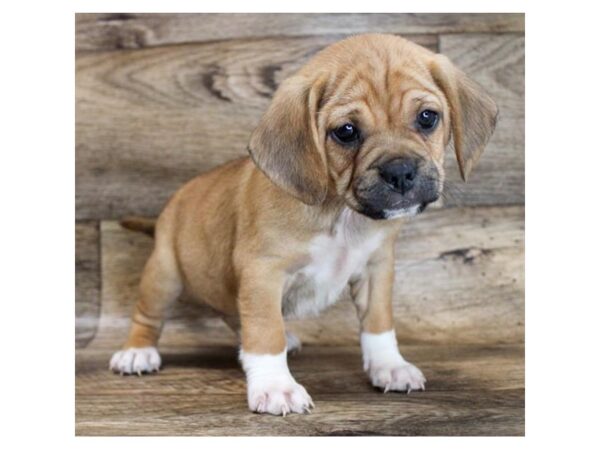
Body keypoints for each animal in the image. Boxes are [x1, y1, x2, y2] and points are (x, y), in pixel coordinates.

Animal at [108, 33, 496, 416]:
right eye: (346, 131)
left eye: (427, 117)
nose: (400, 171)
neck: (341, 213)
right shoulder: (263, 273)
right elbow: (265, 332)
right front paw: (275, 386)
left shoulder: (376, 268)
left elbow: (378, 323)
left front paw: (390, 365)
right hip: (163, 276)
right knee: (148, 317)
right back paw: (137, 352)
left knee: (235, 316)